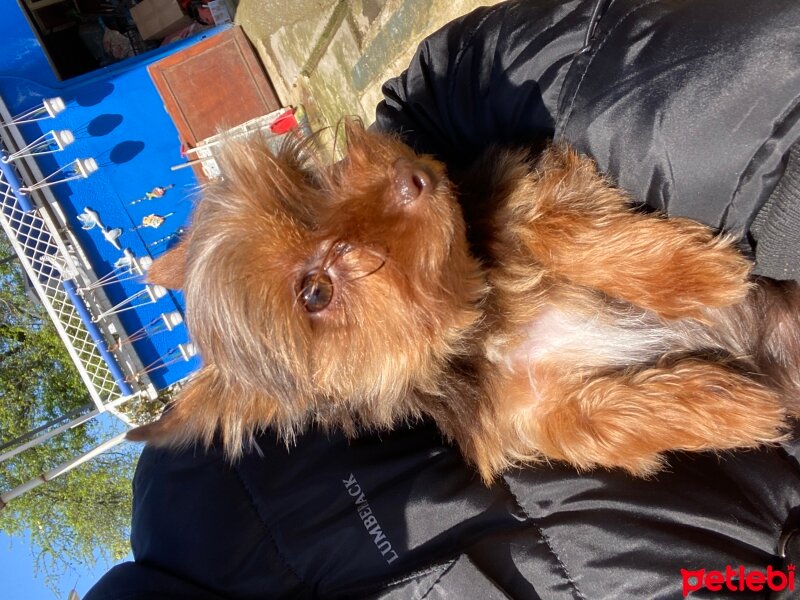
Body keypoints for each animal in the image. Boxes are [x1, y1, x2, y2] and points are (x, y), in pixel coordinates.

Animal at [126, 122, 800, 482]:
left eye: (316, 181)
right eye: (315, 293)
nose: (411, 176)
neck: (482, 324)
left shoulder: (521, 196)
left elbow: (555, 229)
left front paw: (695, 276)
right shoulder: (527, 417)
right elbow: (595, 420)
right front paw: (727, 403)